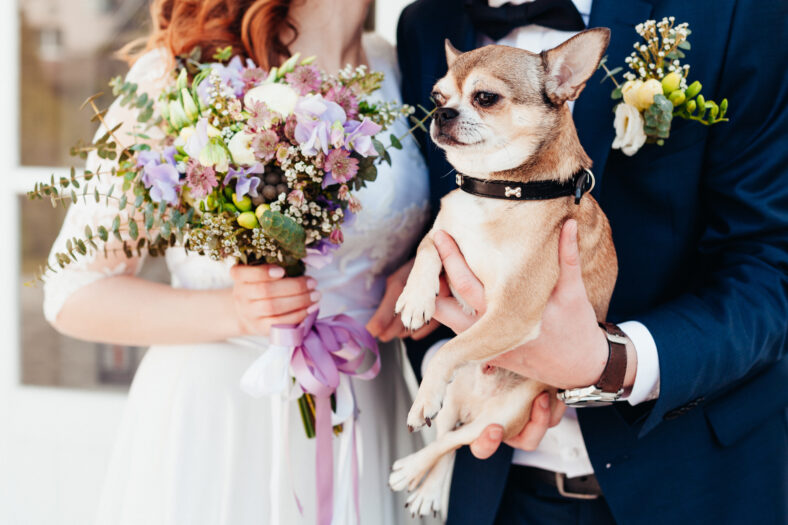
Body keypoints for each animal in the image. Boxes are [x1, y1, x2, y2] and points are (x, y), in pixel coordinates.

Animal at [390, 28, 620, 516]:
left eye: (485, 98)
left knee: (454, 440)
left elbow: (456, 347)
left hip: (499, 419)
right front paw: (416, 298)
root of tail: (475, 406)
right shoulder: (446, 234)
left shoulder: (511, 314)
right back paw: (425, 485)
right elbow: (428, 245)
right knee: (448, 439)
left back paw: (413, 466)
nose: (441, 112)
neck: (496, 192)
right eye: (436, 96)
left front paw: (423, 396)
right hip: (459, 406)